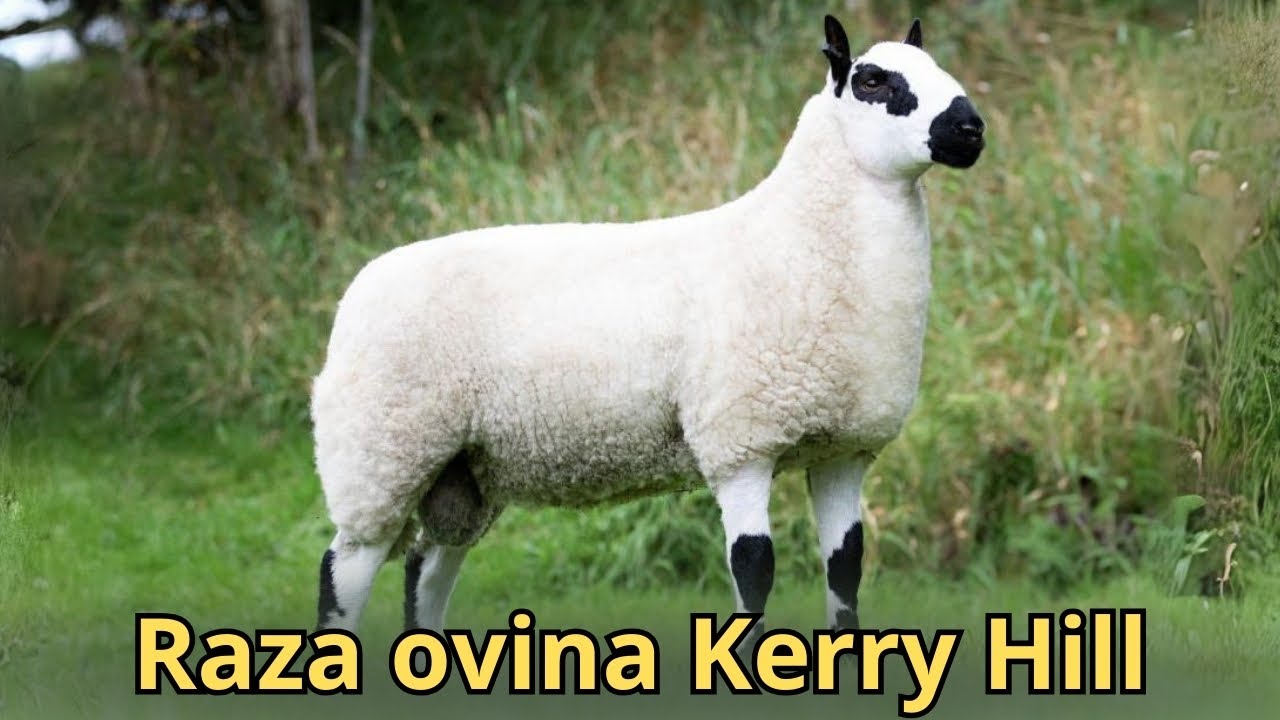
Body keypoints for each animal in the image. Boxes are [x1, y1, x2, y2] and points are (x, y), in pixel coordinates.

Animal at [311, 14, 985, 637]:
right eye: (873, 80)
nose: (970, 129)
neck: (795, 238)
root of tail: (358, 286)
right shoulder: (739, 442)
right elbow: (754, 570)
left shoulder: (845, 448)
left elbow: (845, 571)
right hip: (380, 453)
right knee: (342, 571)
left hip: (465, 475)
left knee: (426, 569)